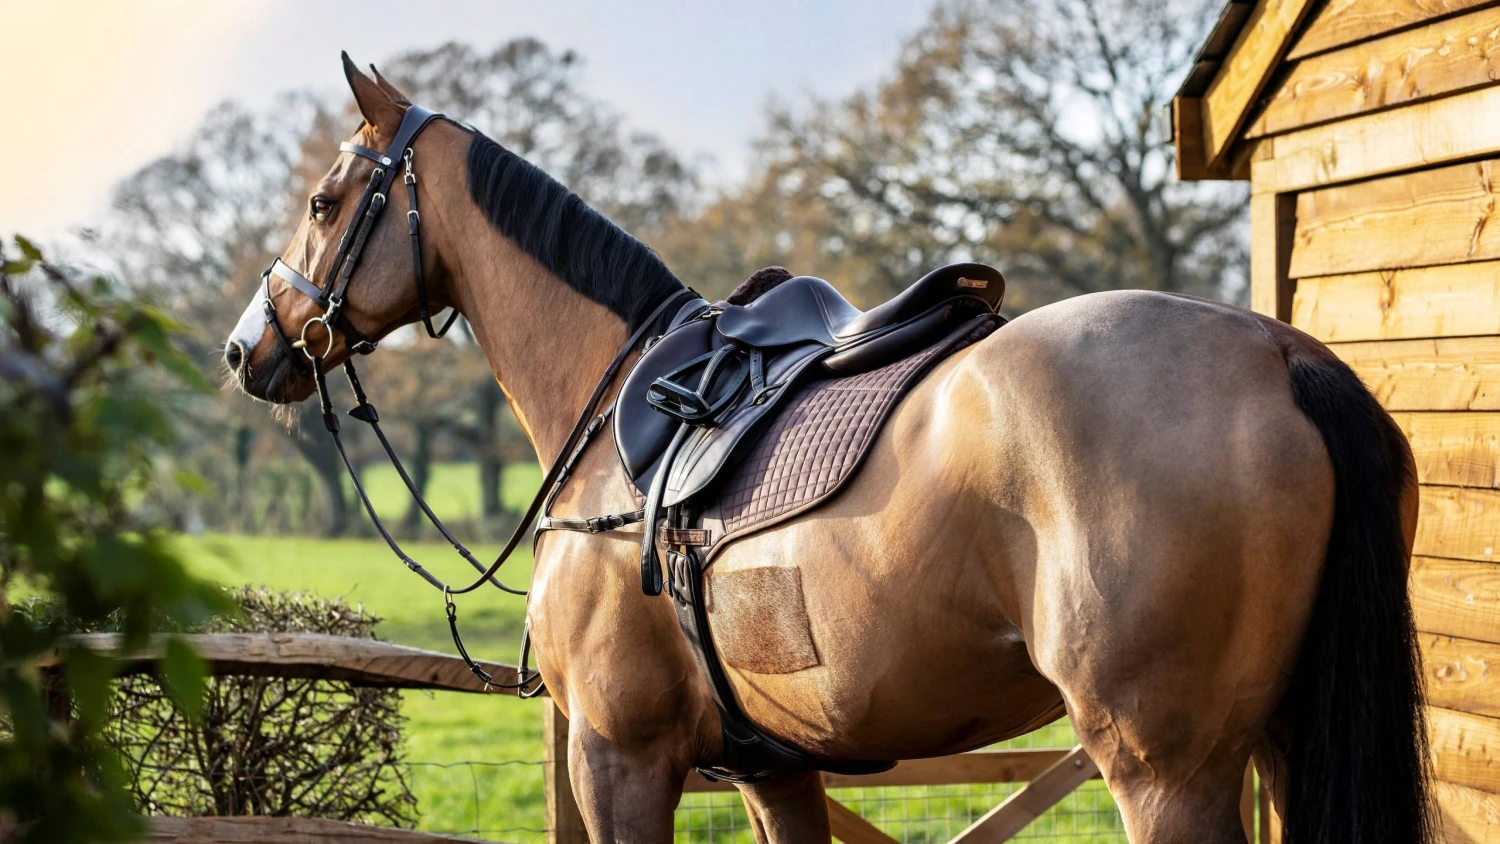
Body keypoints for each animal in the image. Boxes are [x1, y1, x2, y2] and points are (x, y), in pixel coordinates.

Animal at [224, 55, 1430, 843]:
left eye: (325, 200)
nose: (248, 347)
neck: (619, 402)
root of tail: (1279, 355)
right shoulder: (777, 771)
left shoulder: (618, 753)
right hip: (1280, 738)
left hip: (1164, 771)